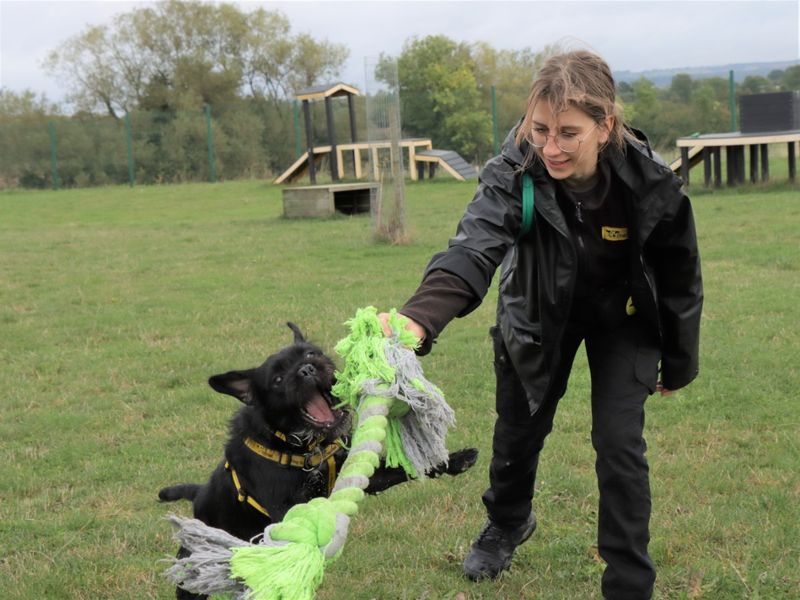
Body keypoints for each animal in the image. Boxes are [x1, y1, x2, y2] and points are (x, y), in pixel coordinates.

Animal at [159, 326, 478, 596]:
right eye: (277, 380)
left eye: (311, 354)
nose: (306, 369)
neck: (304, 447)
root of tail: (198, 493)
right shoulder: (287, 507)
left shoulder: (363, 476)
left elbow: (402, 469)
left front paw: (453, 460)